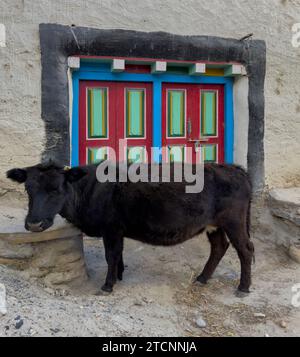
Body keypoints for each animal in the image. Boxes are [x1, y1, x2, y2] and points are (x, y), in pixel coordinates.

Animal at [7, 162, 254, 294]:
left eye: (56, 189)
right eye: (28, 189)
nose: (34, 224)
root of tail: (235, 168)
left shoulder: (111, 228)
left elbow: (111, 255)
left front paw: (107, 285)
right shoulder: (118, 230)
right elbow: (119, 254)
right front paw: (119, 275)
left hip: (233, 221)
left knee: (245, 250)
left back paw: (243, 287)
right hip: (215, 225)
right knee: (219, 247)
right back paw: (202, 278)